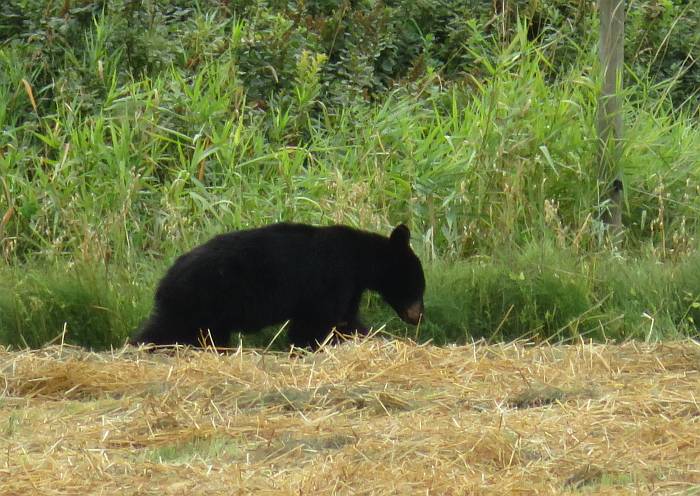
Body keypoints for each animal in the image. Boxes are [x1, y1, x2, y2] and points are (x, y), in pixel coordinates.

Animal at [132, 223, 426, 350]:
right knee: (164, 328)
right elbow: (318, 323)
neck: (359, 260)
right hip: (200, 300)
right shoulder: (331, 280)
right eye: (419, 286)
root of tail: (165, 278)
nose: (419, 315)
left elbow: (345, 320)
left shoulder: (348, 288)